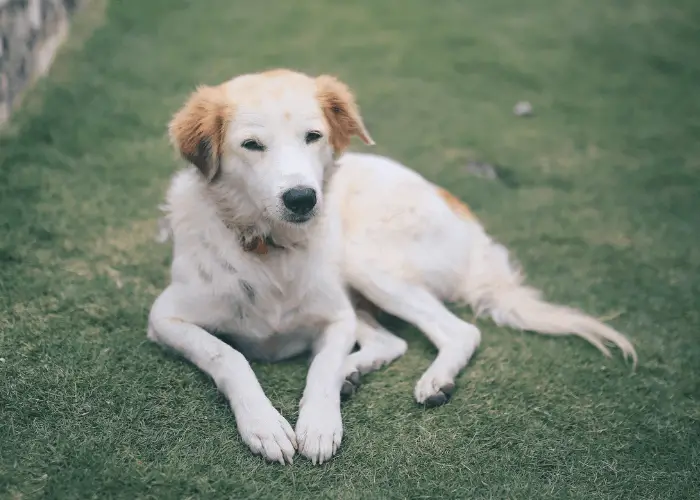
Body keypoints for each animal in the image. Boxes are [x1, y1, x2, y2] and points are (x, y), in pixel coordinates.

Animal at [150, 68, 636, 466]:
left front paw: (320, 424)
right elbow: (227, 355)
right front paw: (265, 425)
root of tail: (470, 224)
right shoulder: (164, 318)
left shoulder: (337, 317)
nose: (303, 199)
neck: (269, 249)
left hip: (365, 262)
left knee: (461, 331)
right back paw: (353, 375)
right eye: (252, 145)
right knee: (392, 341)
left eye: (313, 136)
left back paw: (428, 380)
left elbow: (320, 368)